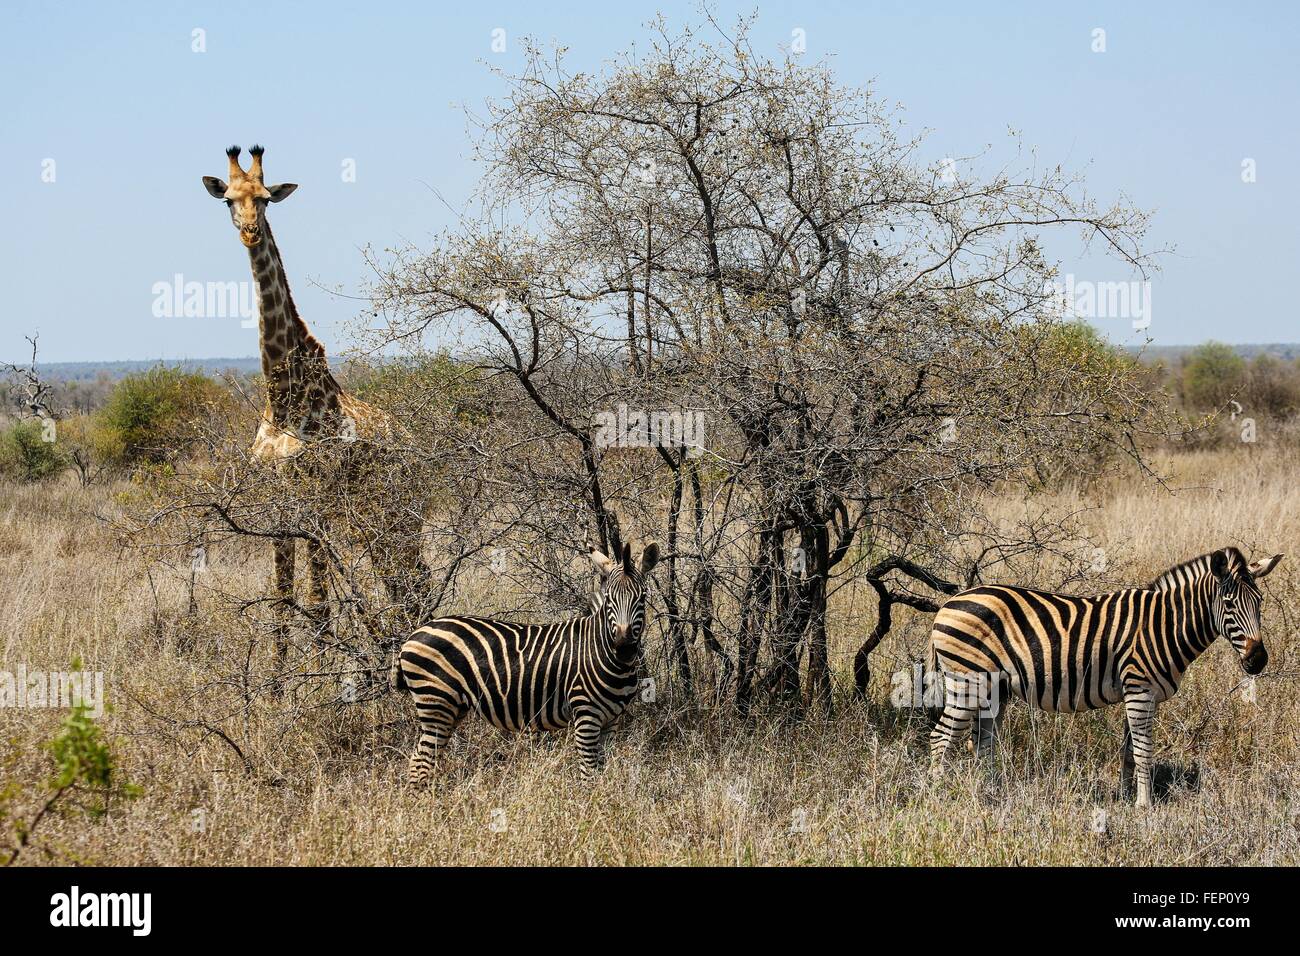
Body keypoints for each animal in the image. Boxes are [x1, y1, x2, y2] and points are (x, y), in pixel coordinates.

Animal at [202, 144, 429, 663]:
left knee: (414, 581)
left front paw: (322, 676)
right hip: (376, 517)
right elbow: (282, 599)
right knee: (402, 582)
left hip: (398, 510)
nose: (249, 232)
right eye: (227, 200)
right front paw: (276, 679)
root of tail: (410, 441)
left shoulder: (316, 502)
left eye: (266, 199)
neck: (283, 397)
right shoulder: (278, 503)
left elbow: (319, 600)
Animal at [394, 541, 660, 786]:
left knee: (422, 758)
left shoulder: (611, 720)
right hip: (436, 703)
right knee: (420, 763)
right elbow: (589, 773)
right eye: (609, 600)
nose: (624, 649)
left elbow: (601, 771)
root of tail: (414, 634)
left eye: (643, 598)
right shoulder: (585, 715)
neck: (604, 654)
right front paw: (589, 803)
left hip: (452, 707)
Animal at [927, 547, 1282, 807]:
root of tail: (950, 602)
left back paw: (990, 795)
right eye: (1229, 604)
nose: (1258, 661)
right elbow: (1143, 751)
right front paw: (1144, 806)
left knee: (982, 742)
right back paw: (939, 797)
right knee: (941, 737)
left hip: (995, 688)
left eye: (1260, 602)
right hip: (967, 680)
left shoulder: (1140, 693)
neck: (1164, 625)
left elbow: (1129, 751)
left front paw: (1126, 799)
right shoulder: (1139, 691)